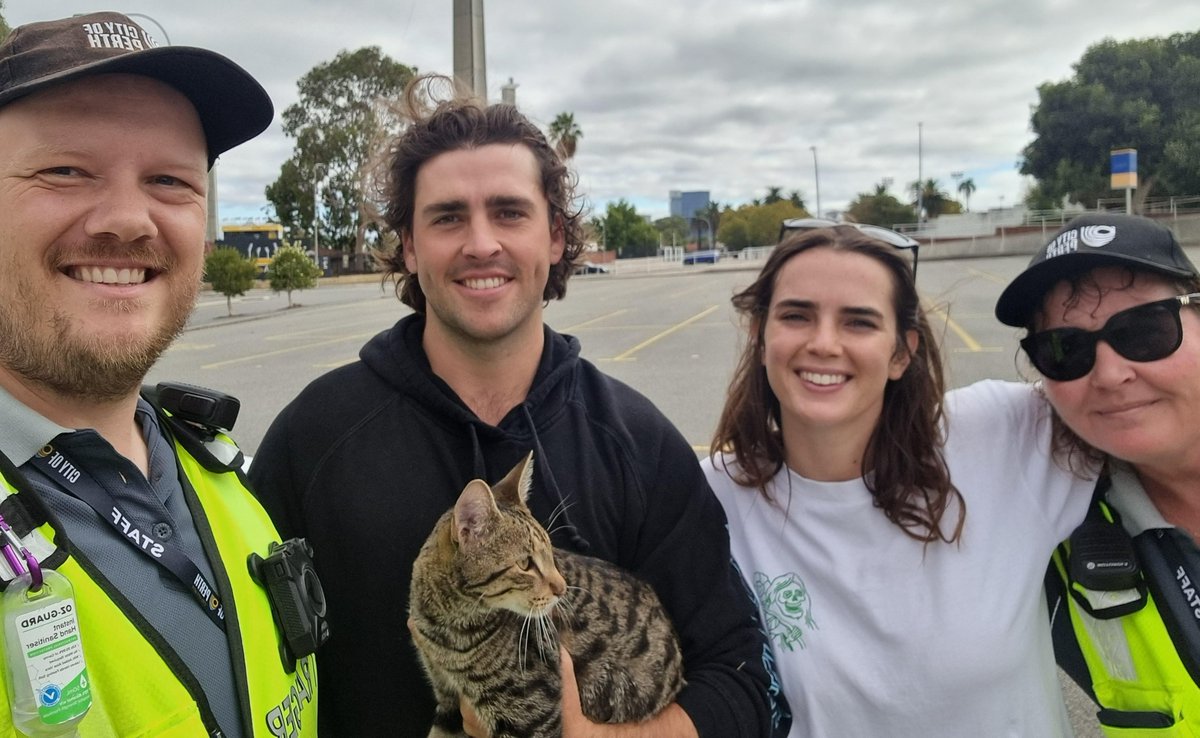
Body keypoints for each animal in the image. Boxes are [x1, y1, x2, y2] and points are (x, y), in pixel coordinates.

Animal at [410, 451, 686, 738]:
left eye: (551, 553)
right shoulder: (446, 696)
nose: (562, 588)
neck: (444, 627)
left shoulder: (531, 717)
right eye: (525, 564)